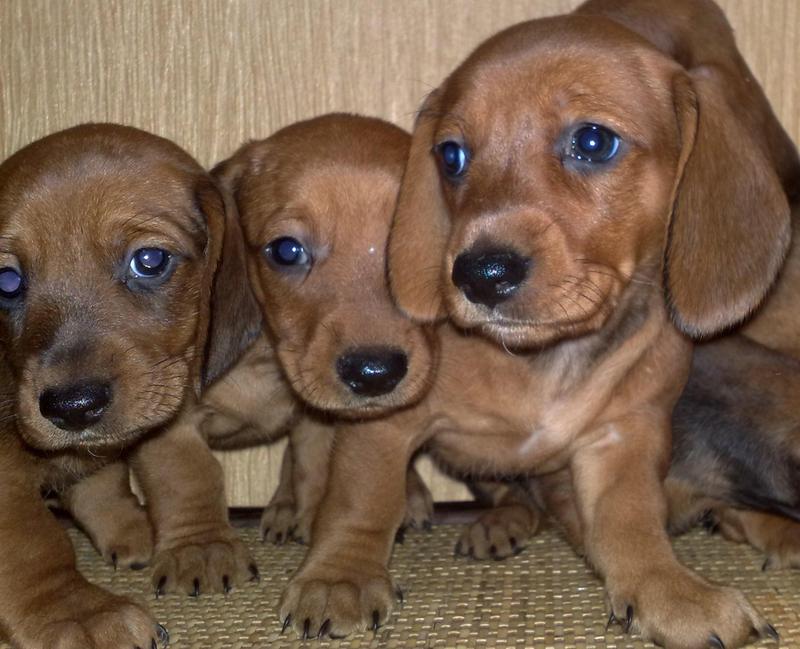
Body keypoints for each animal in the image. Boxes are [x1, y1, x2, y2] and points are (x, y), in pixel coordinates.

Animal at [0, 123, 256, 647]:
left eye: (150, 260)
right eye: (7, 280)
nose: (72, 406)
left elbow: (103, 476)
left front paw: (130, 526)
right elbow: (31, 541)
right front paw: (76, 613)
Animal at [276, 1, 799, 647]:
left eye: (593, 141)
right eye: (451, 155)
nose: (480, 274)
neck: (545, 360)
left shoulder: (622, 438)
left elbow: (632, 525)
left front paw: (669, 591)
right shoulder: (387, 423)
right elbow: (361, 500)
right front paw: (339, 577)